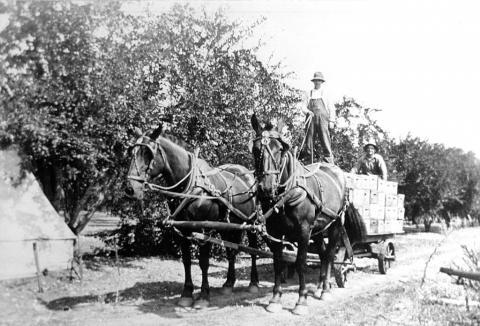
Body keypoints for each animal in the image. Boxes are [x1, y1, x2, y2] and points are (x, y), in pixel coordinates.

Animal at [124, 126, 258, 310]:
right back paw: (229, 283)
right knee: (232, 251)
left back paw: (253, 283)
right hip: (229, 226)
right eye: (131, 152)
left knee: (253, 250)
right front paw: (187, 293)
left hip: (252, 223)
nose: (130, 189)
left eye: (147, 153)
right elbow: (187, 261)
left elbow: (203, 262)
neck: (190, 185)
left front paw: (203, 295)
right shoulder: (183, 230)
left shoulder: (205, 230)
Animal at [251, 115, 360, 316]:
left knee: (330, 254)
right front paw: (275, 299)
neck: (288, 191)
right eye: (255, 149)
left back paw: (325, 290)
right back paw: (318, 287)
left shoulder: (303, 230)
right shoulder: (275, 231)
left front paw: (301, 300)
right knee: (323, 255)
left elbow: (300, 262)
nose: (266, 188)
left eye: (280, 150)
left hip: (334, 226)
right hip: (318, 230)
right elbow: (278, 261)